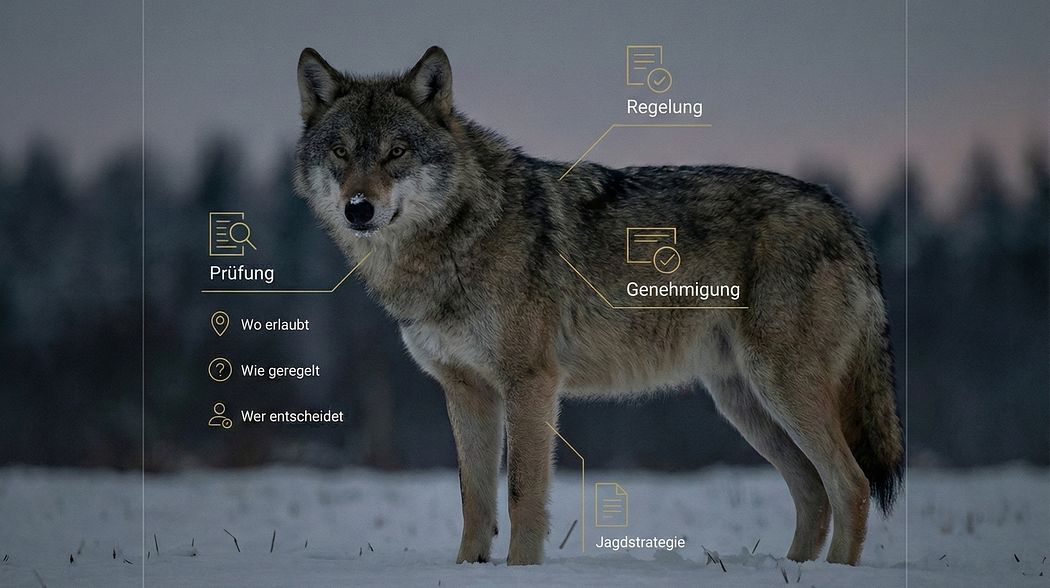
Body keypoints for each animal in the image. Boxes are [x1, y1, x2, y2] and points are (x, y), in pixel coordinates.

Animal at [293, 46, 903, 567]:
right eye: (341, 152)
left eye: (396, 152)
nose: (358, 209)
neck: (455, 239)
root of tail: (844, 216)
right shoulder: (466, 389)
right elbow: (474, 502)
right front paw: (470, 569)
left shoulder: (530, 382)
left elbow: (521, 496)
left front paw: (521, 570)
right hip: (745, 403)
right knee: (813, 492)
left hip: (782, 389)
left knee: (850, 485)